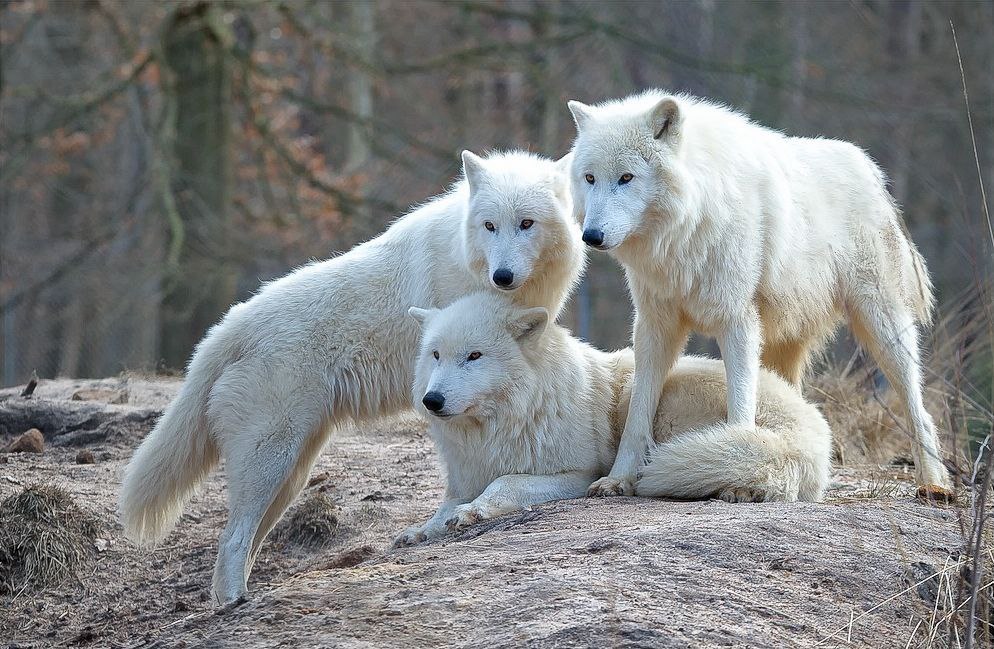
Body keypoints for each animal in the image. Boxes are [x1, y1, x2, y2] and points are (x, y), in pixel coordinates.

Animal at [118, 150, 585, 603]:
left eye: (526, 223)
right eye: (490, 226)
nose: (502, 276)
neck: (469, 261)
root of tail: (229, 327)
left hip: (290, 473)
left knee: (243, 541)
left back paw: (234, 600)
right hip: (271, 460)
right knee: (231, 540)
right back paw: (236, 603)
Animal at [394, 292, 832, 545]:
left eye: (474, 356)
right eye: (436, 355)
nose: (432, 400)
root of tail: (812, 426)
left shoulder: (577, 475)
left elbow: (505, 483)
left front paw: (473, 512)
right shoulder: (465, 476)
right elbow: (443, 507)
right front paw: (421, 530)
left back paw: (738, 491)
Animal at [565, 90, 951, 501]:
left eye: (626, 178)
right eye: (590, 178)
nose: (591, 236)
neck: (690, 223)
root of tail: (870, 169)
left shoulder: (737, 321)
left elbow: (740, 403)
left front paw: (734, 471)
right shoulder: (656, 325)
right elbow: (638, 412)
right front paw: (618, 479)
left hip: (883, 326)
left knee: (919, 408)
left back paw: (934, 483)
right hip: (785, 345)